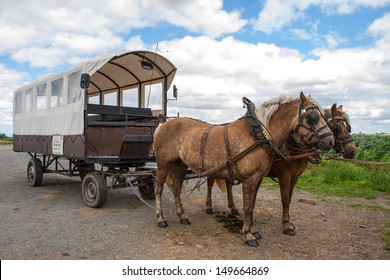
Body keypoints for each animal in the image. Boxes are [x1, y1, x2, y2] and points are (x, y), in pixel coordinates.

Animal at [154, 93, 334, 246]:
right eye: (313, 117)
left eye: (325, 117)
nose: (331, 141)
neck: (260, 135)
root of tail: (162, 125)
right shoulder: (252, 178)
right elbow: (248, 206)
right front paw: (248, 234)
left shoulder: (259, 178)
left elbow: (252, 204)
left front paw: (253, 230)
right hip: (163, 164)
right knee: (159, 189)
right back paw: (161, 219)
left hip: (180, 165)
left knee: (176, 188)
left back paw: (182, 216)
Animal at [207, 101, 356, 235]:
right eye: (336, 127)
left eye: (348, 126)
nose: (353, 151)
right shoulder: (284, 175)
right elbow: (284, 199)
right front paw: (286, 225)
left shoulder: (295, 177)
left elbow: (288, 198)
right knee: (210, 182)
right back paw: (209, 206)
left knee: (228, 184)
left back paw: (233, 208)